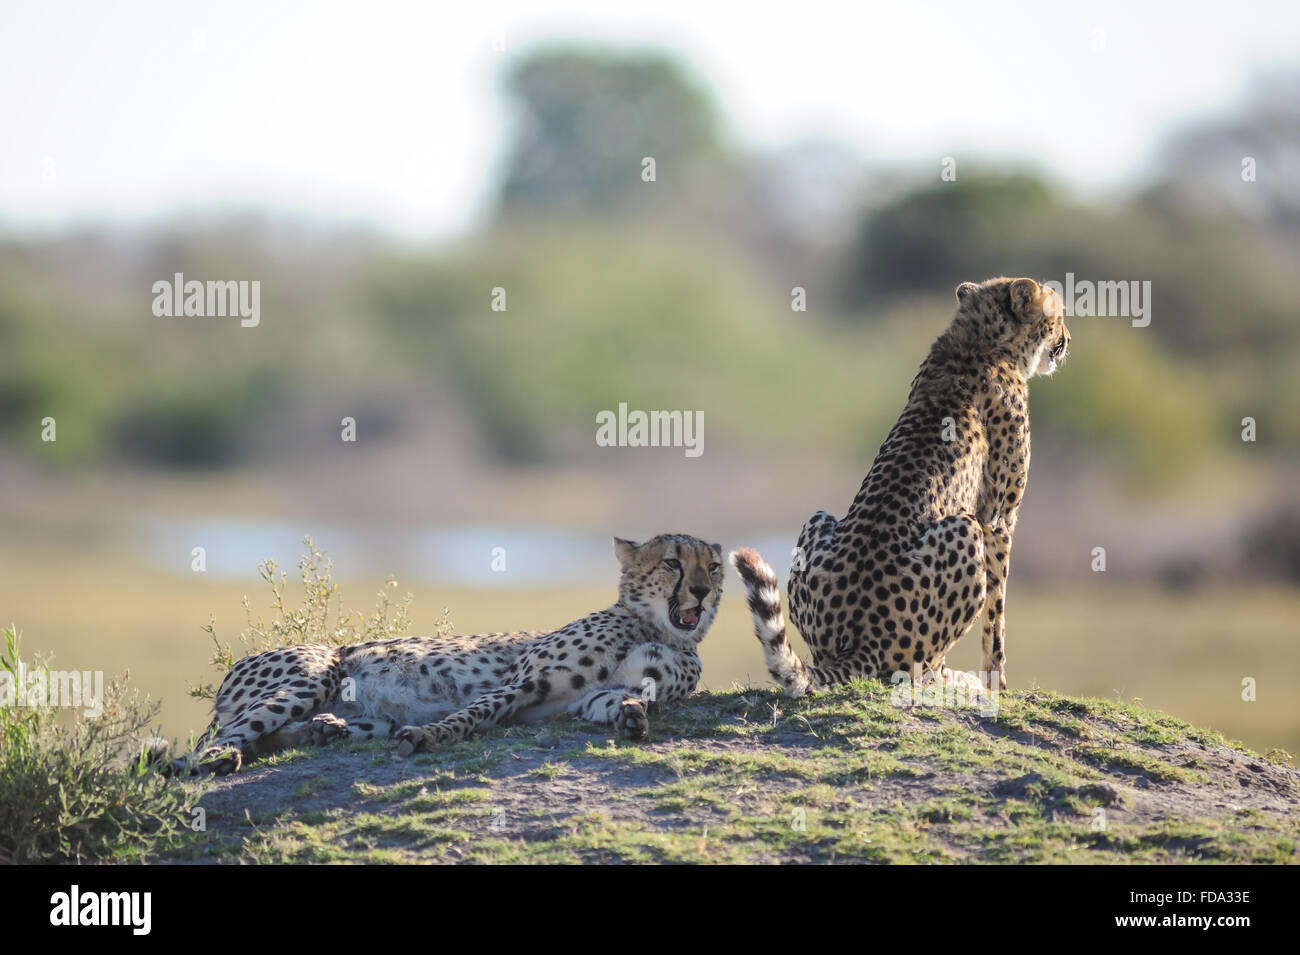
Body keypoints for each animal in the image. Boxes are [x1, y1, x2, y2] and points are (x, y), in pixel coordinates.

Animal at [167, 535, 728, 774]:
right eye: (673, 562)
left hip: (366, 714)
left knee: (276, 734)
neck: (654, 626)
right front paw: (431, 737)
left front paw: (632, 716)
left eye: (715, 566)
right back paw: (219, 759)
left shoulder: (586, 697)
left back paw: (324, 730)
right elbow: (473, 713)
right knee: (215, 742)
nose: (701, 592)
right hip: (314, 671)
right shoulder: (521, 683)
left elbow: (616, 701)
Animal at [733, 276, 1066, 696]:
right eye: (1058, 316)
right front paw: (998, 683)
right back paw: (956, 679)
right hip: (964, 529)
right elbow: (997, 612)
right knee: (919, 669)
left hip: (817, 520)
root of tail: (856, 642)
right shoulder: (998, 519)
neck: (979, 340)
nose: (1067, 341)